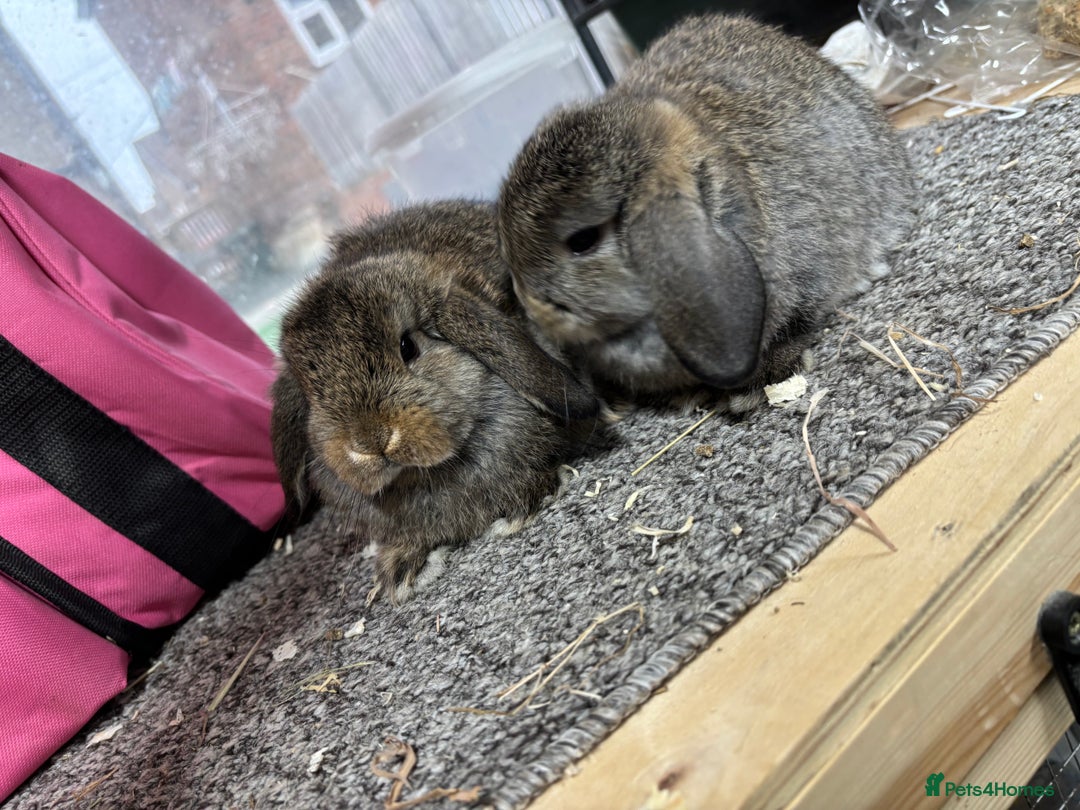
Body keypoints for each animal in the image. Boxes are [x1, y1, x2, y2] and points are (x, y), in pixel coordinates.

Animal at [270, 201, 598, 604]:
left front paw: (524, 505)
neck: (429, 473)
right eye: (314, 393)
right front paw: (400, 572)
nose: (371, 442)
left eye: (407, 346)